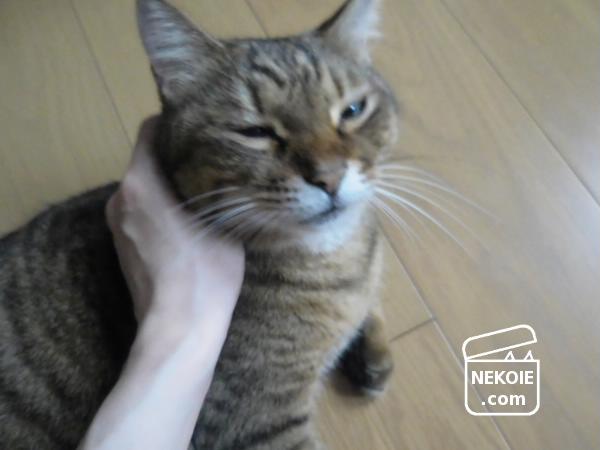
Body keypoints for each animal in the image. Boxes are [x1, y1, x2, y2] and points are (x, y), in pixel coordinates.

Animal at [0, 0, 400, 448]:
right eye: (254, 131)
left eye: (352, 111)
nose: (329, 177)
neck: (338, 258)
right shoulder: (256, 422)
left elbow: (371, 300)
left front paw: (372, 348)